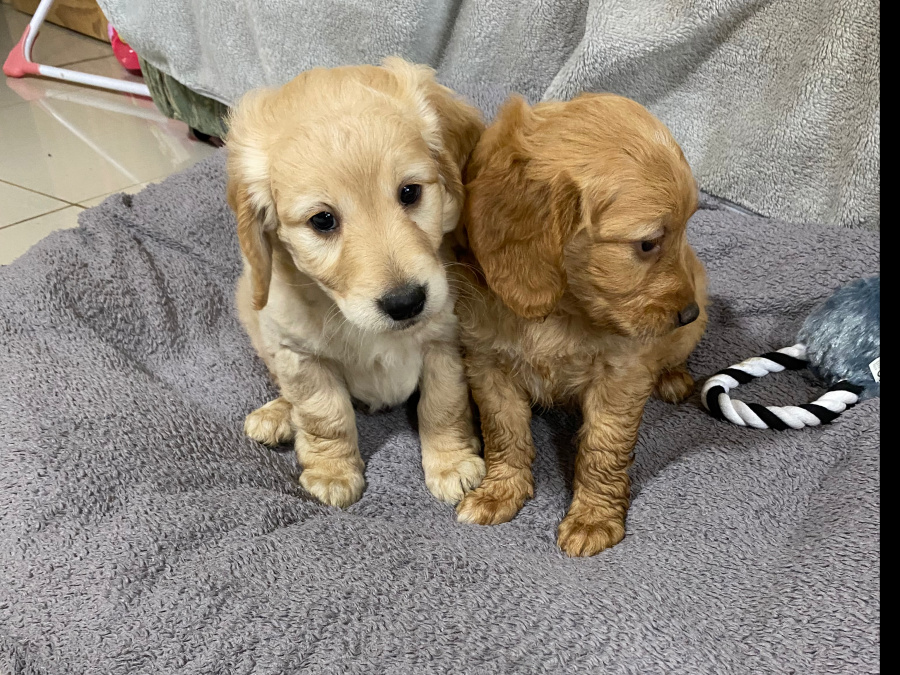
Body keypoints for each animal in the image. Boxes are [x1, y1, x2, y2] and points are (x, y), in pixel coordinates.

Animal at [229, 59, 488, 508]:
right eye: (322, 220)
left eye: (410, 192)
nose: (406, 302)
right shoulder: (300, 356)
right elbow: (324, 416)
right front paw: (332, 472)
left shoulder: (446, 341)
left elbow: (443, 406)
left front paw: (451, 463)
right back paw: (277, 414)